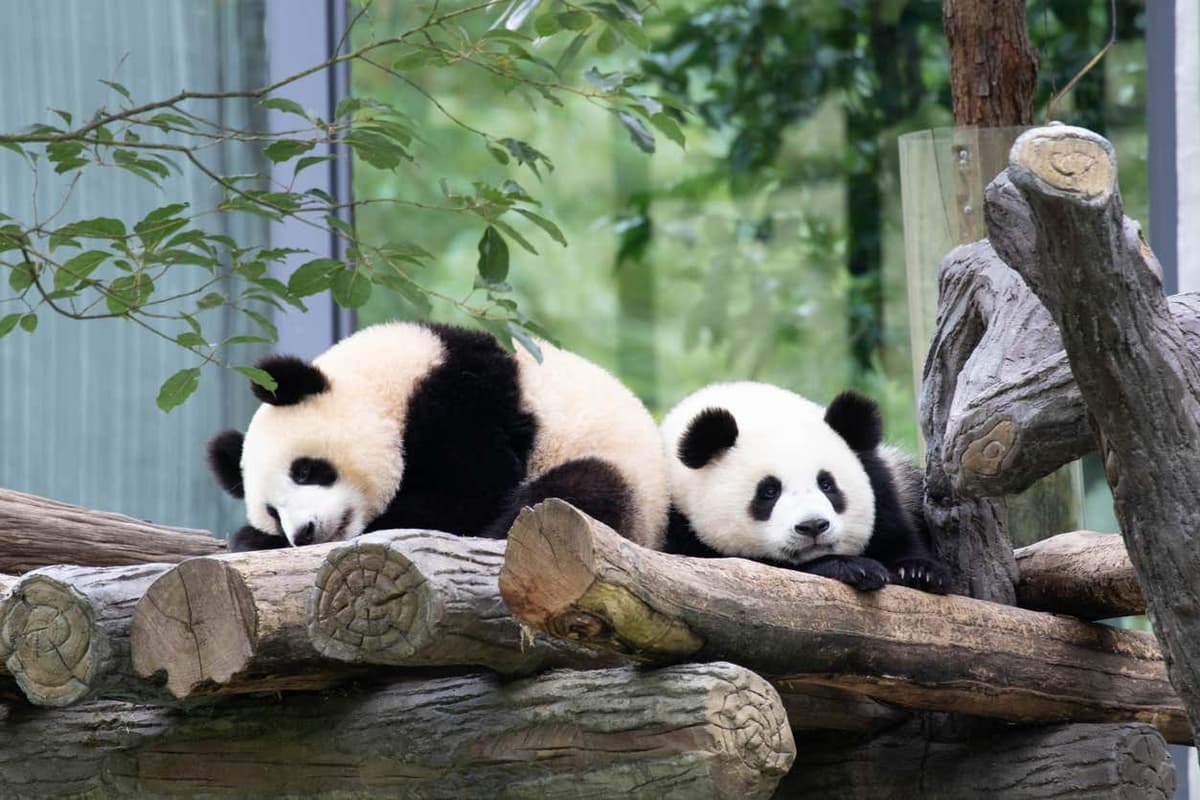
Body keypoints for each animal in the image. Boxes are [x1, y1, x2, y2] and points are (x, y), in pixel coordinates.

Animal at [207, 321, 668, 552]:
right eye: (271, 510)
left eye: (305, 471)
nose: (303, 533)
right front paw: (255, 538)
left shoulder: (459, 399)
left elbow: (466, 492)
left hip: (623, 486)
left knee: (580, 489)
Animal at [659, 381, 949, 593]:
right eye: (769, 491)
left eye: (827, 484)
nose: (813, 526)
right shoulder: (677, 525)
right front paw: (855, 568)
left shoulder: (882, 479)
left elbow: (896, 530)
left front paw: (918, 571)